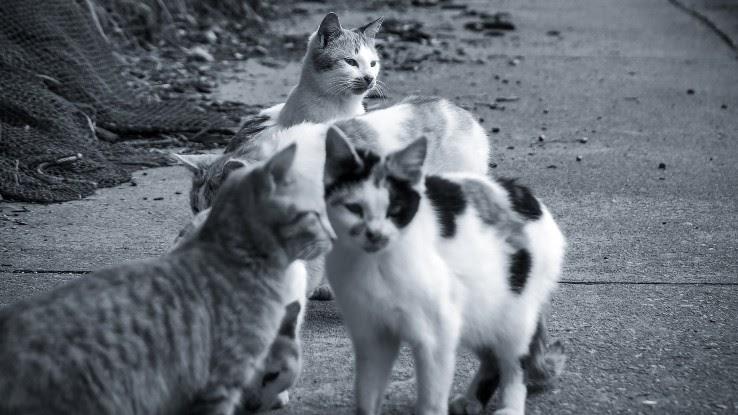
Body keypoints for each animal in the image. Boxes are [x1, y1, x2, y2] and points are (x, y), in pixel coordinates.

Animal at [320, 133, 564, 415]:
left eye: (395, 210)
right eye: (354, 208)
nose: (375, 234)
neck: (373, 264)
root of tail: (528, 197)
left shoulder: (436, 335)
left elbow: (431, 399)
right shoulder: (371, 335)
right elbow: (367, 394)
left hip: (514, 316)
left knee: (514, 362)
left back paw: (510, 407)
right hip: (479, 312)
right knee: (492, 356)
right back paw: (471, 400)